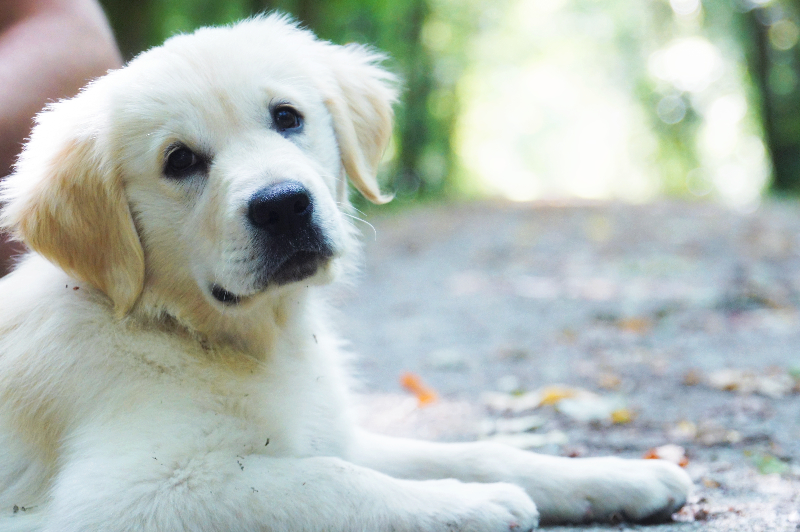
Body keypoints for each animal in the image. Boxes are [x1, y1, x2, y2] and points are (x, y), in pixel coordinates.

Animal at [0, 14, 692, 528]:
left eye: (287, 117)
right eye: (179, 160)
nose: (283, 205)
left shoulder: (331, 431)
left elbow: (471, 449)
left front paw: (620, 474)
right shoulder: (128, 494)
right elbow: (329, 481)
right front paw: (472, 503)